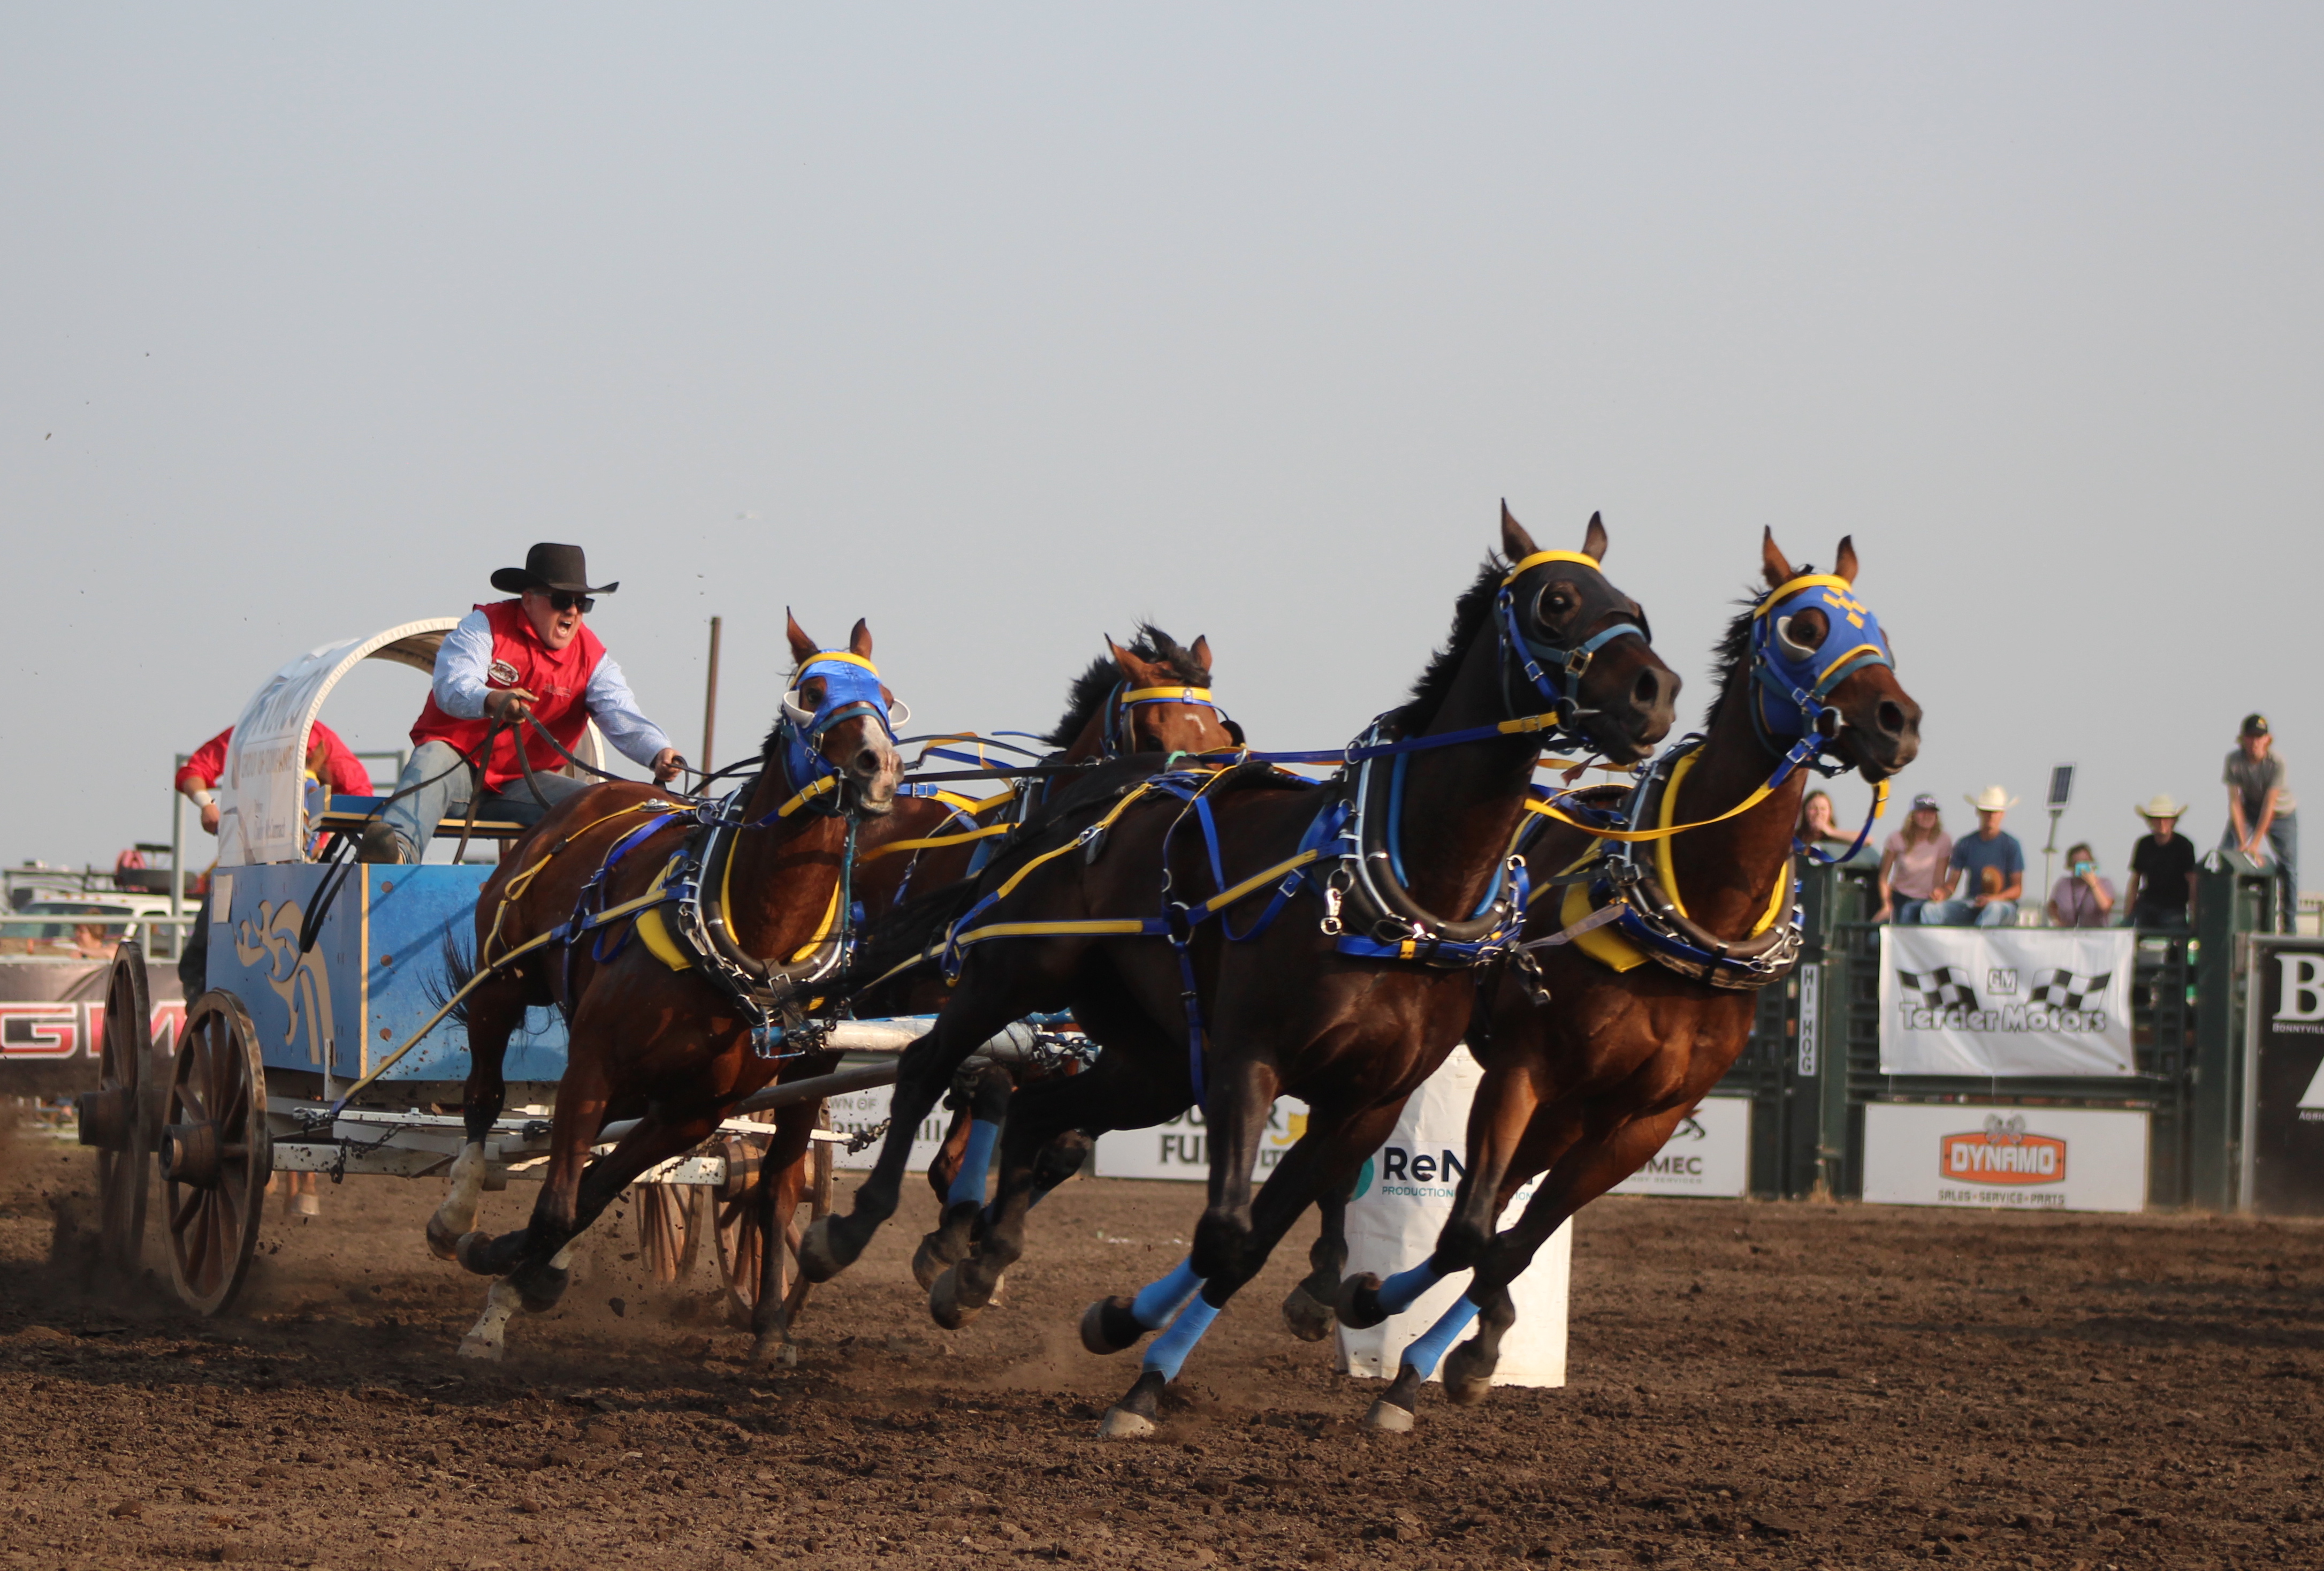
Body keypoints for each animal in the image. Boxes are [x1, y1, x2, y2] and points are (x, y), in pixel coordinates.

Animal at [432, 613, 902, 1366]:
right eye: (812, 691)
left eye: (885, 698)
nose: (877, 765)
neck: (753, 940)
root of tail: (589, 797)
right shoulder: (593, 1061)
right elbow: (560, 1201)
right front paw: (497, 1290)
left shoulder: (697, 1109)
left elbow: (592, 1195)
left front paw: (522, 1274)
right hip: (504, 981)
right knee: (483, 1096)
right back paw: (456, 1217)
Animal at [809, 506, 1682, 1431]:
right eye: (1555, 600)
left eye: (1632, 603)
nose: (1654, 691)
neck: (1397, 889)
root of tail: (1090, 801)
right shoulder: (1246, 1061)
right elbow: (1226, 1233)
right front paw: (1136, 1356)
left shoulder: (1367, 1098)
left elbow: (1253, 1238)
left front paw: (1132, 1341)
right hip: (1014, 974)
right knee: (926, 1063)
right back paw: (850, 1231)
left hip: (1150, 1059)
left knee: (1044, 1115)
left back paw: (977, 1266)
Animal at [1338, 534, 1915, 1431]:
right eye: (1804, 626)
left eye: (1877, 629)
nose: (1896, 720)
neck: (1698, 916)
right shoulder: (1524, 1068)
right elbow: (1473, 1230)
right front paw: (1409, 1340)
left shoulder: (1643, 1121)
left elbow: (1512, 1241)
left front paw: (1461, 1357)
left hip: (1575, 1113)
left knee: (1505, 1213)